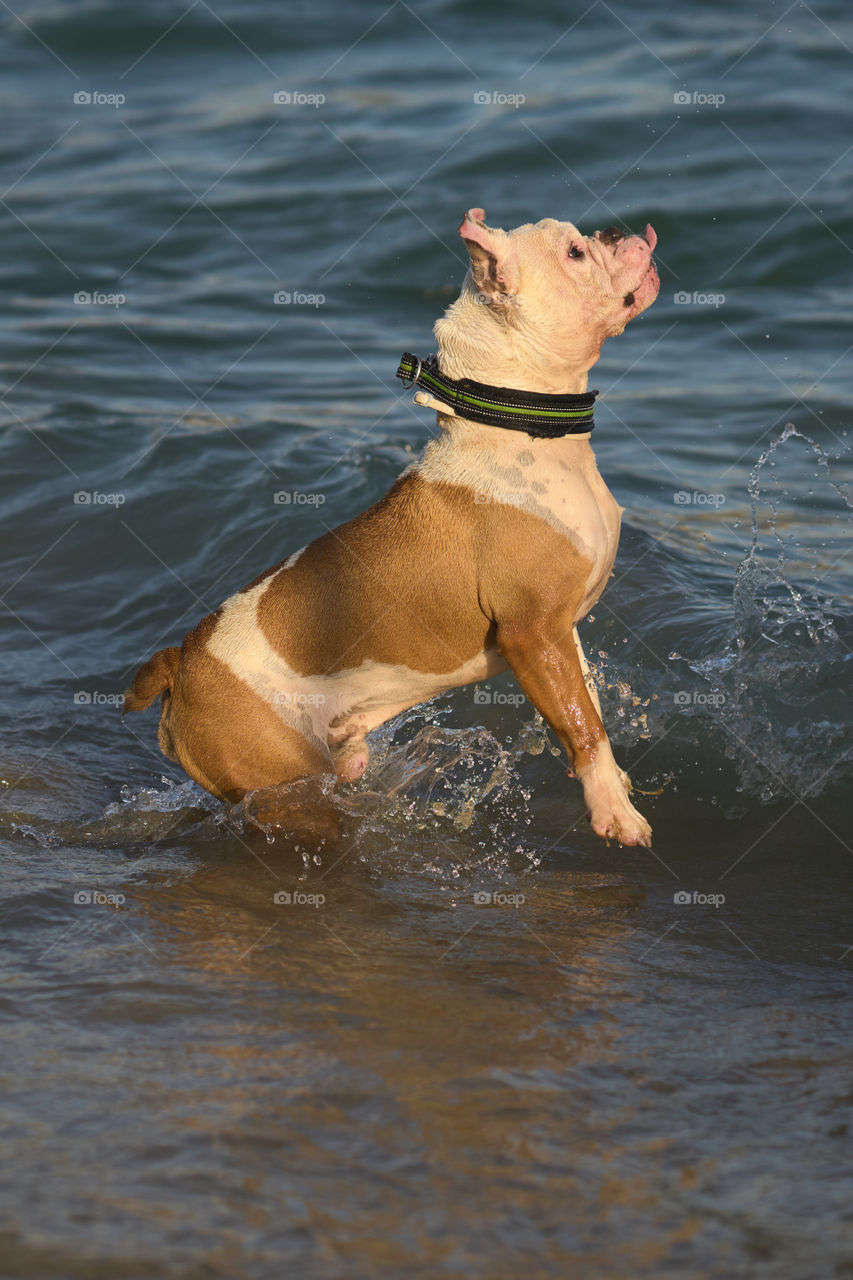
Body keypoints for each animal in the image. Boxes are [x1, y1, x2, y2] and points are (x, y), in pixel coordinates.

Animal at [124, 207, 655, 849]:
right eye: (575, 253)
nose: (615, 232)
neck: (517, 424)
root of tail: (178, 663)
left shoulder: (559, 632)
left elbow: (587, 702)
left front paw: (617, 782)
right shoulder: (531, 632)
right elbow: (583, 729)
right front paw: (613, 811)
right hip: (285, 781)